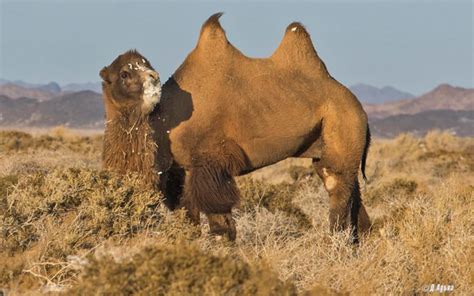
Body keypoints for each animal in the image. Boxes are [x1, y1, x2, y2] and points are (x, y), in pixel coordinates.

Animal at [100, 12, 372, 242]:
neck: (165, 123)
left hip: (343, 124)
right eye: (124, 73)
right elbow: (187, 218)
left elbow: (220, 223)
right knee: (352, 191)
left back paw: (336, 244)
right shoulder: (179, 170)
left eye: (147, 66)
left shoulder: (210, 162)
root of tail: (357, 104)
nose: (154, 77)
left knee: (337, 186)